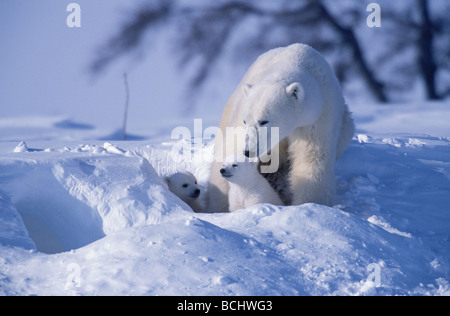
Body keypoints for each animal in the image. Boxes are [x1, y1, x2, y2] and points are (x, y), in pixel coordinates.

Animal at [205, 43, 356, 212]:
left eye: (264, 121)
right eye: (245, 121)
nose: (248, 151)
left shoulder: (317, 120)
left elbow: (311, 160)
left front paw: (310, 205)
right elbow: (230, 147)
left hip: (345, 125)